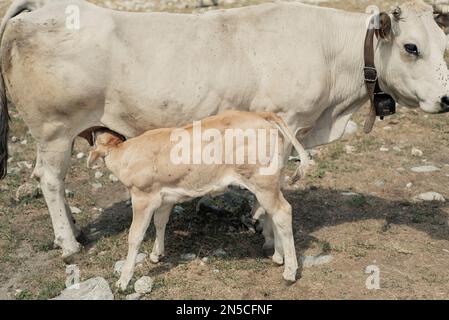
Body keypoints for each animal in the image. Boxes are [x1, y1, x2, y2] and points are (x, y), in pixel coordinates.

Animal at [0, 0, 448, 260]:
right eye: (411, 47)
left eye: (444, 45)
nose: (446, 99)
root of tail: (40, 7)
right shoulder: (285, 120)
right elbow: (275, 189)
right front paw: (271, 238)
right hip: (54, 129)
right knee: (50, 180)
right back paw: (68, 244)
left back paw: (73, 231)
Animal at [86, 110, 308, 290]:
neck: (126, 154)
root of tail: (263, 114)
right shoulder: (164, 198)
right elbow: (160, 222)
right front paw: (157, 254)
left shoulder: (142, 197)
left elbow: (135, 236)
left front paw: (123, 281)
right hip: (272, 181)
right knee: (274, 214)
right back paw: (278, 256)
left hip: (262, 181)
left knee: (283, 212)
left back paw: (289, 271)